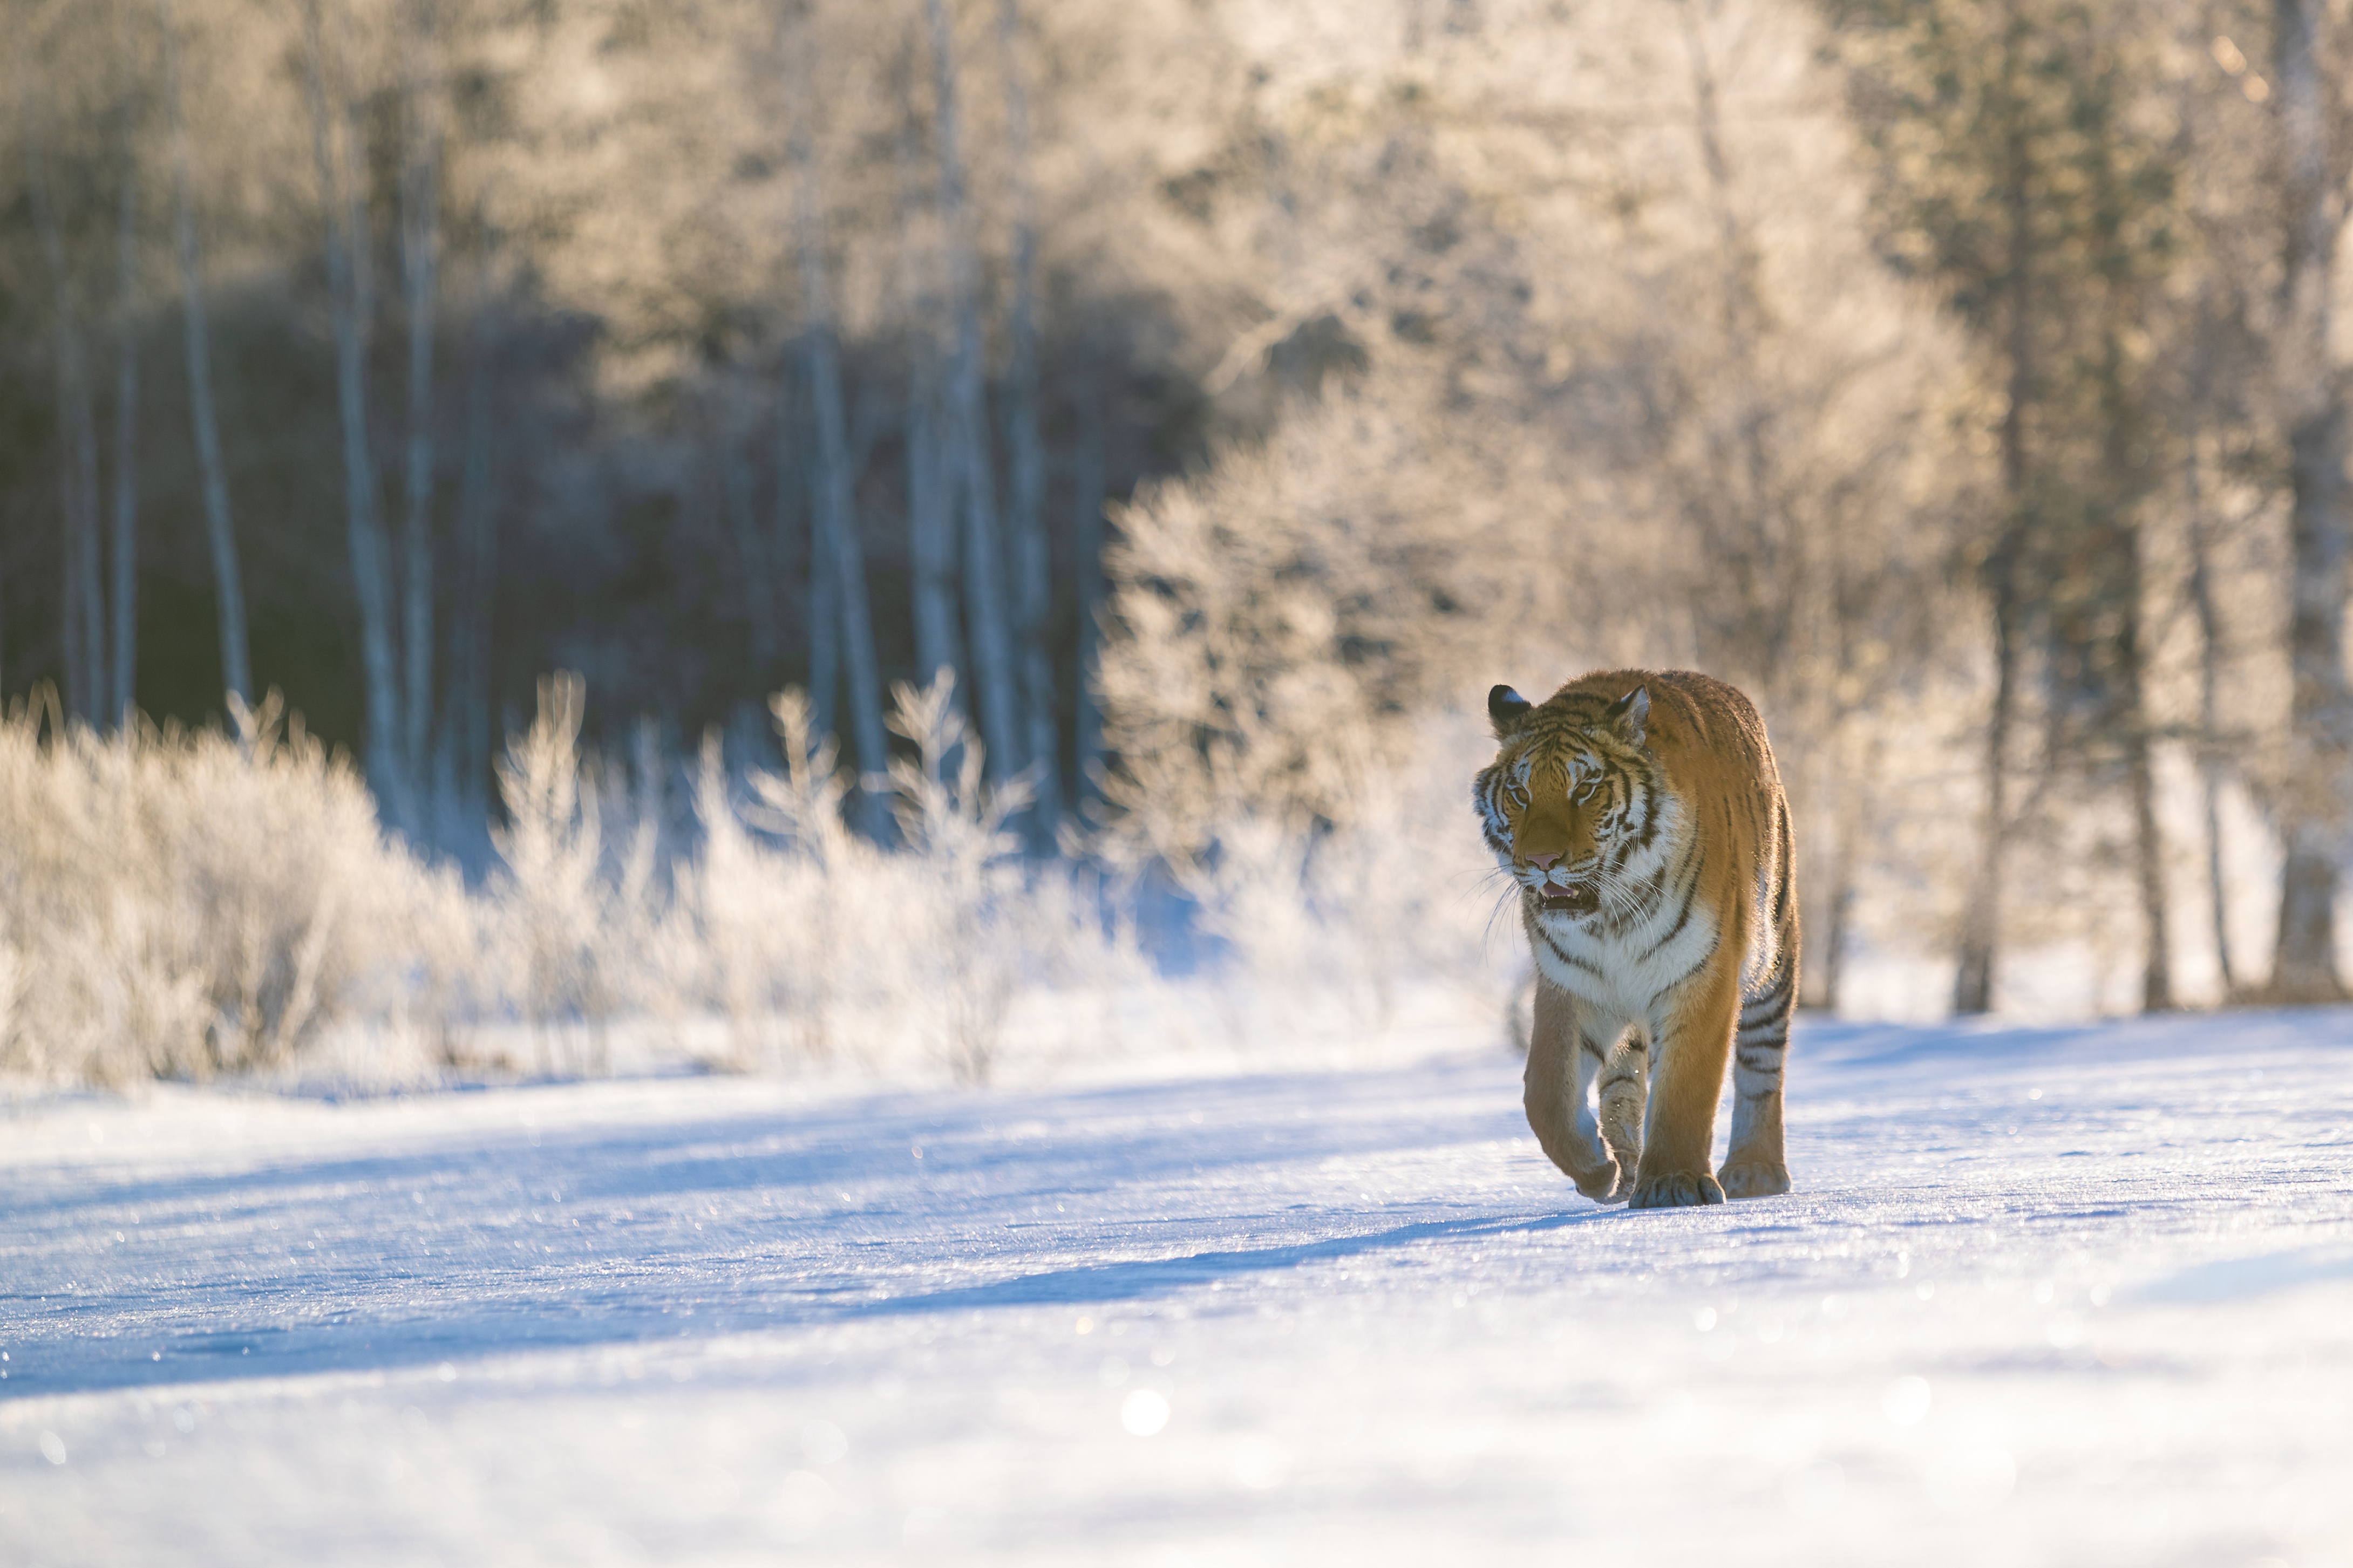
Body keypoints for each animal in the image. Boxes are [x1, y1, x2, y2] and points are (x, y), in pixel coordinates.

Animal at [1468, 667, 1798, 1213]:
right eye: (1519, 792)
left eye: (1585, 789)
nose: (1541, 861)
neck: (1609, 920)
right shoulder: (1571, 984)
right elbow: (1545, 1094)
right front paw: (1598, 1171)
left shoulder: (1702, 973)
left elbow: (1685, 1089)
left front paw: (1672, 1183)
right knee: (1622, 1083)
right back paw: (1623, 1169)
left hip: (1773, 962)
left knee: (1761, 1067)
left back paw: (1756, 1171)